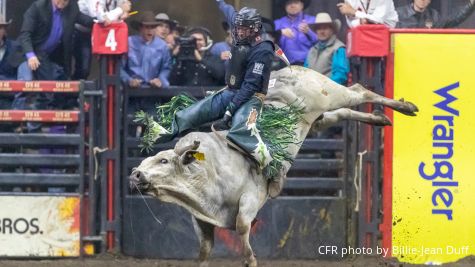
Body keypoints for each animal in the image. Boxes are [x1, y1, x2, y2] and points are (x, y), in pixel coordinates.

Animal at [128, 65, 418, 267]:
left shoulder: (250, 199)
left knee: (359, 90)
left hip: (329, 94)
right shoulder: (201, 220)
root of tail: (288, 70)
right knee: (344, 112)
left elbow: (242, 228)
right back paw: (380, 119)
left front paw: (250, 260)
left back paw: (405, 107)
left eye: (163, 160)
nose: (135, 174)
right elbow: (203, 251)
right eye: (144, 161)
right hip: (319, 120)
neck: (204, 174)